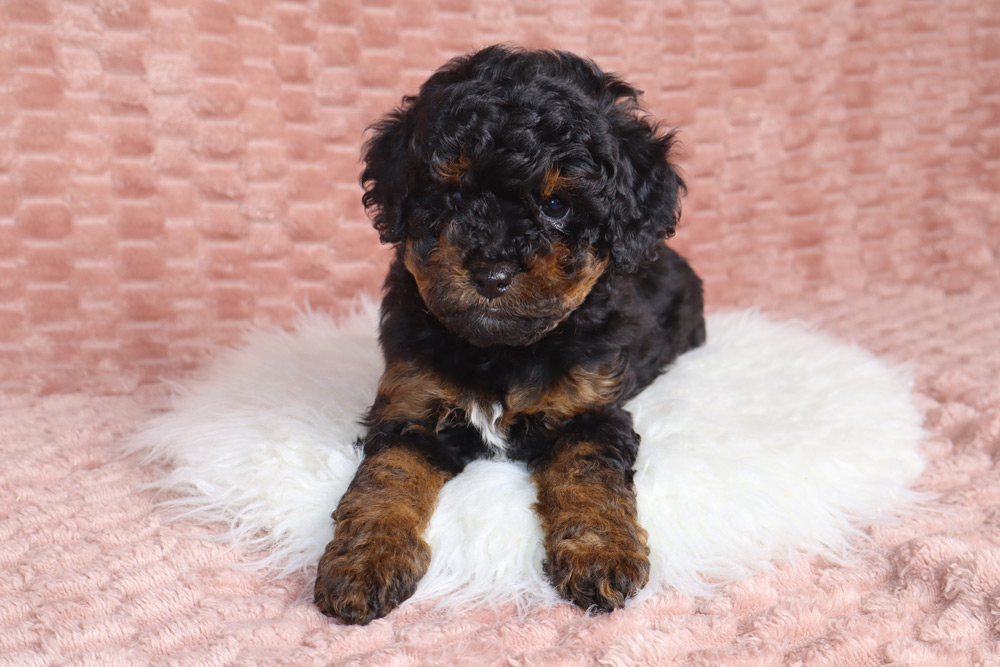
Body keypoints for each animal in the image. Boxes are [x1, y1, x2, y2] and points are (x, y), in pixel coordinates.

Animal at [314, 45, 705, 624]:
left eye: (555, 205)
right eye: (452, 194)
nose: (491, 274)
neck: (499, 352)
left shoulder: (589, 410)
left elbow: (589, 476)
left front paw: (602, 554)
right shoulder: (411, 405)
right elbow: (386, 479)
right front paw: (363, 562)